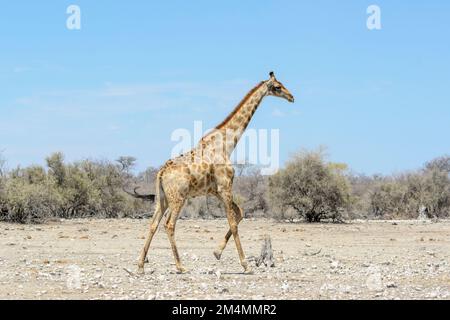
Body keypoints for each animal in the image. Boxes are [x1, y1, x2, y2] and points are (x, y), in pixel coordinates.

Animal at [134, 71, 296, 274]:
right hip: (178, 198)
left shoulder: (217, 191)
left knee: (153, 224)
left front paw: (217, 252)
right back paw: (180, 266)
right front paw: (245, 265)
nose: (291, 97)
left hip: (162, 199)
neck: (227, 144)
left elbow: (240, 213)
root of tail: (161, 173)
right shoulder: (225, 186)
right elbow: (233, 223)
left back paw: (141, 265)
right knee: (169, 225)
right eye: (277, 87)